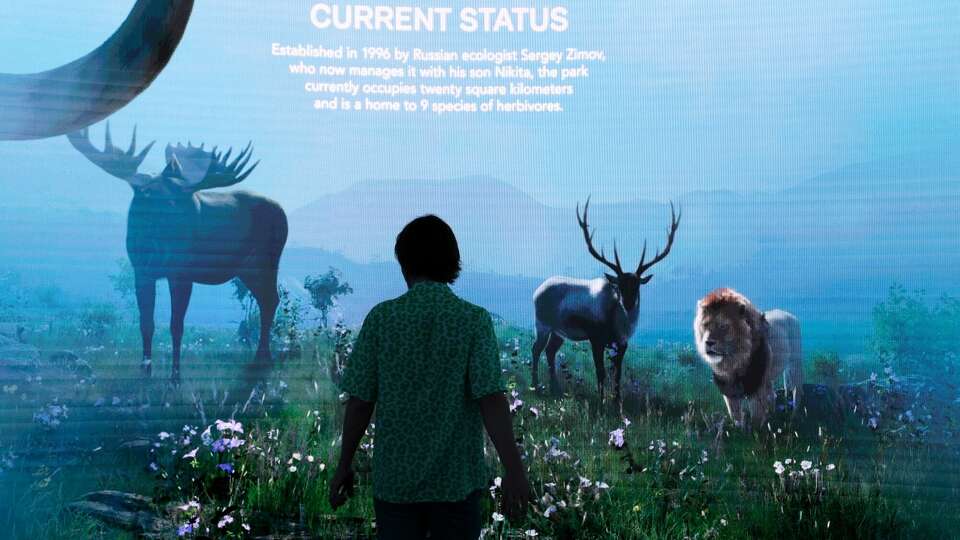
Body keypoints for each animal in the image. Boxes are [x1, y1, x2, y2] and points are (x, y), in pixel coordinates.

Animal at [67, 124, 286, 382]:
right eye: (147, 194)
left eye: (177, 199)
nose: (174, 233)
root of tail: (282, 211)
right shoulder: (141, 272)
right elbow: (146, 322)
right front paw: (146, 371)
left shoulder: (181, 273)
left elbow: (176, 325)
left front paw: (175, 376)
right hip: (248, 270)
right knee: (266, 300)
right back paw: (262, 357)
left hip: (267, 260)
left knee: (271, 299)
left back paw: (263, 358)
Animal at [532, 196, 684, 402]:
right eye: (618, 285)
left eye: (637, 285)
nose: (628, 303)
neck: (619, 325)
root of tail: (536, 292)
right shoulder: (595, 338)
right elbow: (600, 371)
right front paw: (602, 400)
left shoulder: (622, 343)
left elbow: (617, 374)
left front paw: (617, 400)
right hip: (542, 323)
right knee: (536, 349)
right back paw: (535, 387)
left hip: (559, 331)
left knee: (550, 351)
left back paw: (555, 389)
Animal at [688, 288, 804, 428]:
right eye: (705, 325)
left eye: (723, 326)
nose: (708, 342)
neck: (733, 361)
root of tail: (789, 314)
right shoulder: (728, 388)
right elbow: (735, 414)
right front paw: (739, 428)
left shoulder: (756, 386)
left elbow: (756, 415)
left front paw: (756, 430)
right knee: (773, 395)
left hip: (794, 365)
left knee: (797, 392)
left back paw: (794, 416)